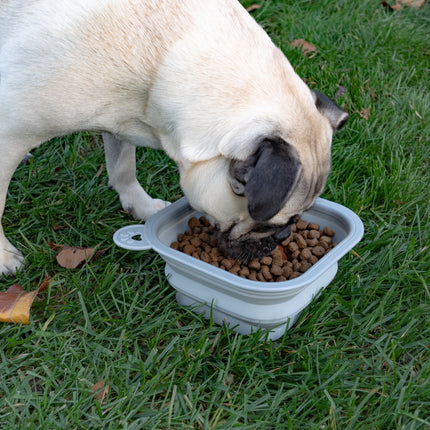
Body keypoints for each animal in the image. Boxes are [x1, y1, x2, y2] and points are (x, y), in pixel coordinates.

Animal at [0, 0, 348, 274]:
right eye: (268, 226)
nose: (284, 237)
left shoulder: (118, 119)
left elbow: (123, 167)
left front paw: (140, 205)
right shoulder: (10, 133)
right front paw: (3, 257)